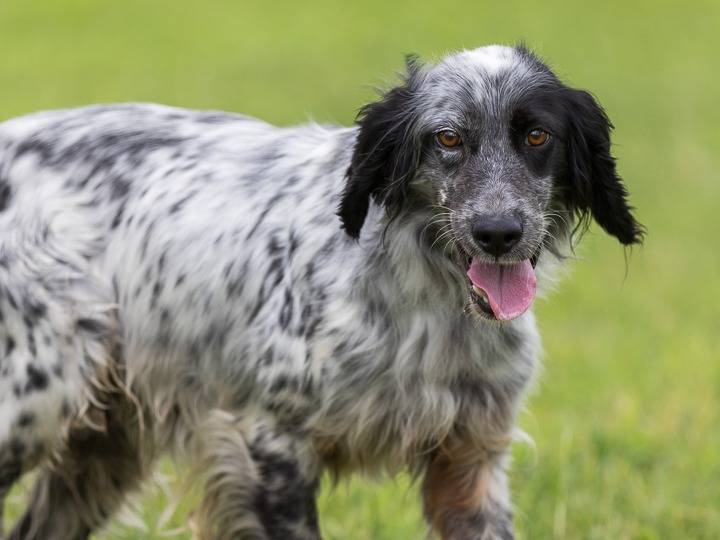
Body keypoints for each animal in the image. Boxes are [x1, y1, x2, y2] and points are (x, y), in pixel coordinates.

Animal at [0, 46, 640, 540]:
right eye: (448, 137)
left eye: (537, 135)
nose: (499, 232)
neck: (427, 303)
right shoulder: (270, 443)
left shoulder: (470, 460)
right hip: (32, 407)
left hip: (102, 448)